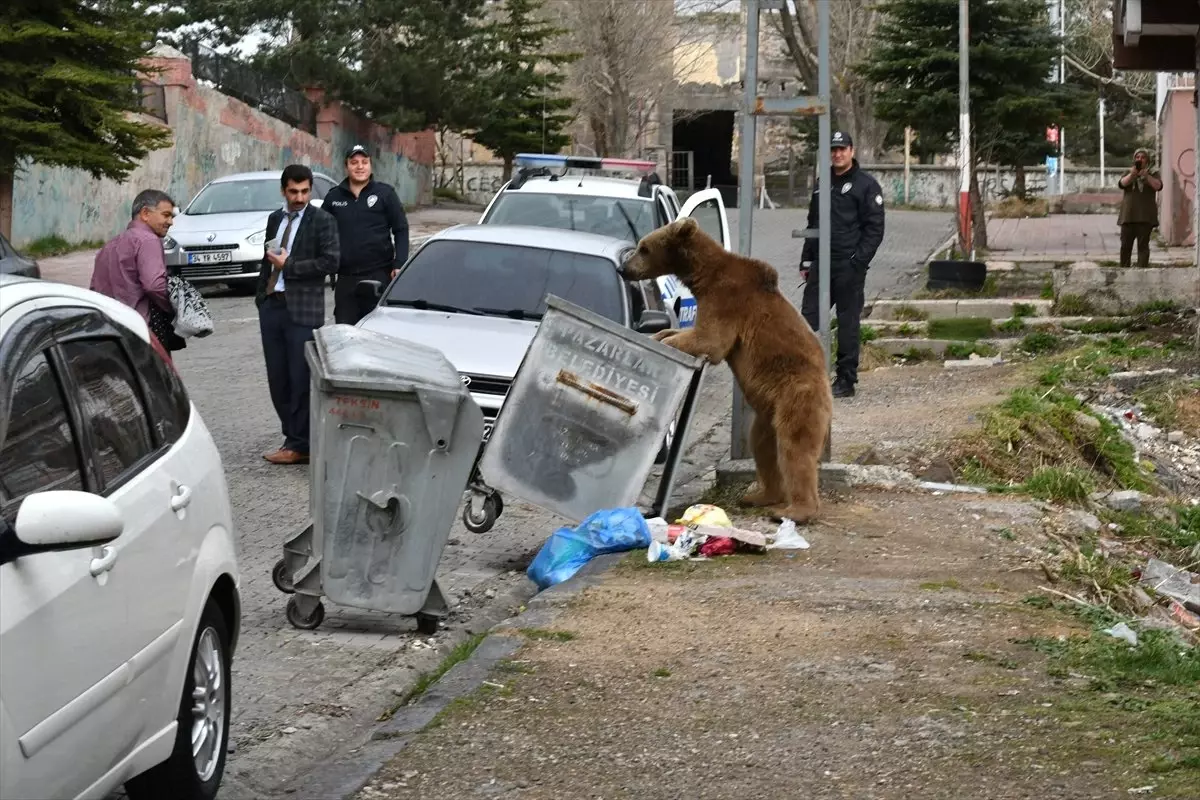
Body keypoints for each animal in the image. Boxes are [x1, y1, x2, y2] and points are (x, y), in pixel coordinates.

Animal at [624, 215, 830, 522]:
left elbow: (710, 339)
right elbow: (688, 332)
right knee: (763, 446)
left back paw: (795, 510)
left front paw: (669, 340)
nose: (624, 268)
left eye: (644, 247)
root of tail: (828, 392)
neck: (703, 277)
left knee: (795, 449)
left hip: (796, 395)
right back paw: (759, 495)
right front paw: (661, 335)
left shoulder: (727, 301)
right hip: (767, 414)